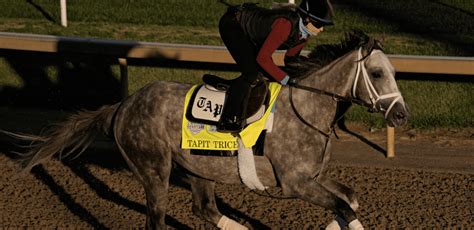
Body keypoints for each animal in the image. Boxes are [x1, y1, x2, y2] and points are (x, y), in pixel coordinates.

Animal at [8, 31, 408, 230]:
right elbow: (345, 208)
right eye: (376, 73)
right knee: (157, 220)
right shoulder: (295, 184)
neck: (306, 110)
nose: (402, 114)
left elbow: (349, 202)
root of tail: (122, 106)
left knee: (203, 209)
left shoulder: (314, 177)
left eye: (392, 71)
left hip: (200, 168)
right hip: (154, 170)